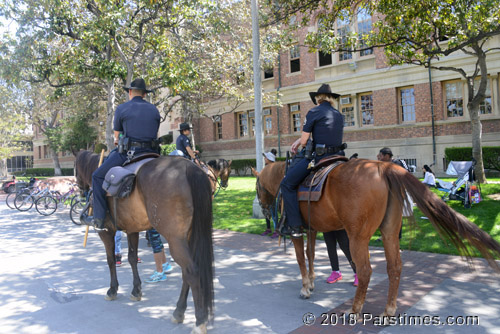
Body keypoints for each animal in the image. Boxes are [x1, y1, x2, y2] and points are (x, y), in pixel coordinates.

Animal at [74, 150, 213, 332]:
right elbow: (132, 259)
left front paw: (112, 289)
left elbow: (110, 260)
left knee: (192, 271)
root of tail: (189, 168)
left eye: (75, 168)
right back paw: (179, 311)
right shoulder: (132, 230)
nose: (80, 190)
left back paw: (199, 321)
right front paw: (136, 290)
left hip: (176, 240)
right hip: (188, 238)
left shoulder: (106, 232)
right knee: (186, 273)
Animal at [256, 158, 500, 320]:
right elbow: (311, 254)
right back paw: (388, 310)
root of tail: (383, 167)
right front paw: (313, 282)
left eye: (257, 189)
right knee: (395, 267)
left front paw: (306, 288)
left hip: (358, 237)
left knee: (365, 270)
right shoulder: (313, 229)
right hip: (389, 232)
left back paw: (355, 310)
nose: (264, 211)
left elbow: (300, 257)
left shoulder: (297, 231)